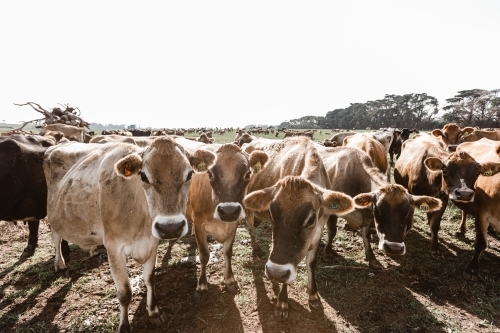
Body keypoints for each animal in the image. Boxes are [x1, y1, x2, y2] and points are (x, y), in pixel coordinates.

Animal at [45, 136, 219, 330]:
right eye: (143, 176)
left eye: (189, 175)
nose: (170, 227)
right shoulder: (113, 247)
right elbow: (124, 293)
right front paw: (124, 326)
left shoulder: (152, 242)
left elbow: (150, 279)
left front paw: (154, 312)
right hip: (53, 217)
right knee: (56, 238)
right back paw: (60, 265)